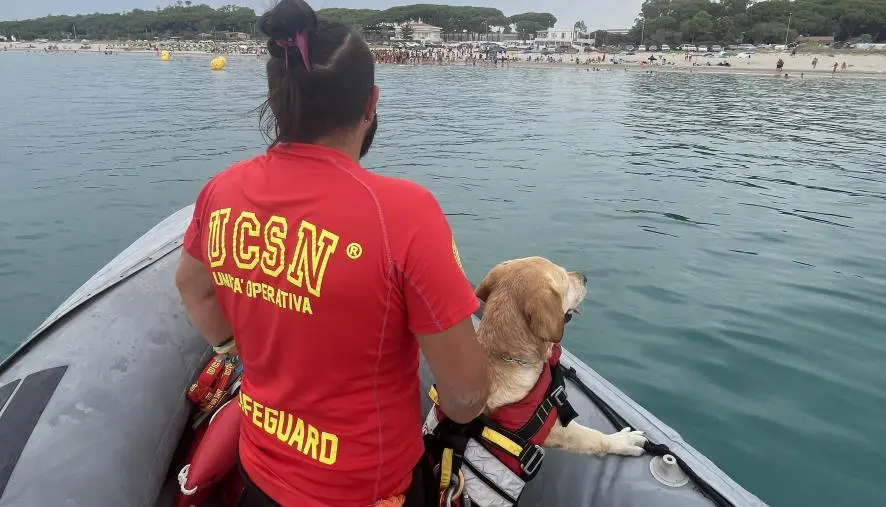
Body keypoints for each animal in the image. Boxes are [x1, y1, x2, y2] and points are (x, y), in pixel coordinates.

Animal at [476, 256, 648, 458]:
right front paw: (621, 441)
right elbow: (591, 437)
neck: (505, 353)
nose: (584, 277)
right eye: (565, 280)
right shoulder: (550, 429)